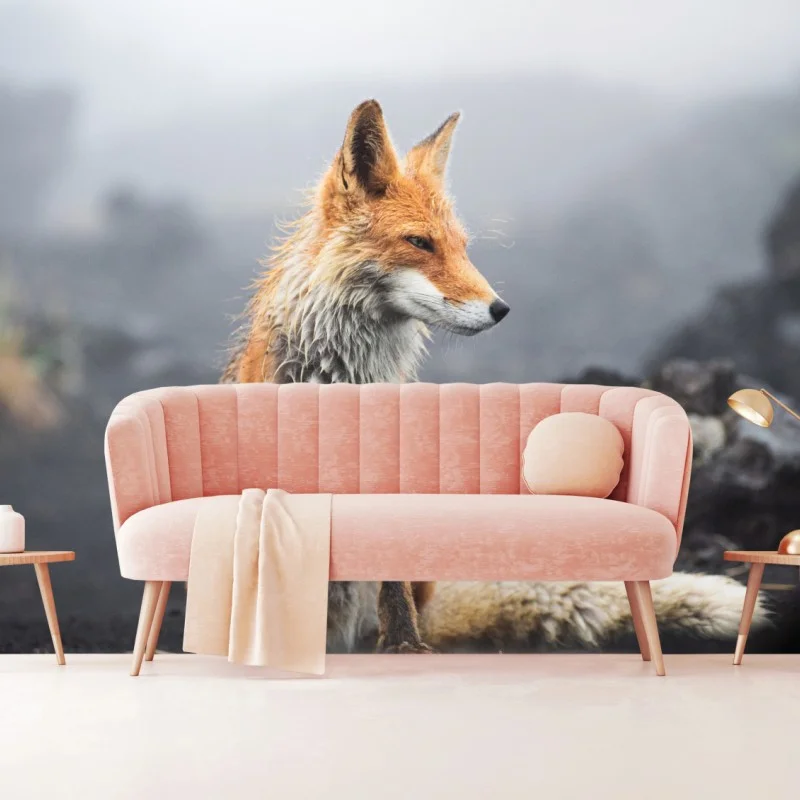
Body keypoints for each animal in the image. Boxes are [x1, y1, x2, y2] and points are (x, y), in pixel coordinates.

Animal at [223, 99, 770, 654]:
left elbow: (394, 592)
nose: (501, 309)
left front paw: (404, 648)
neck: (344, 377)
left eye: (462, 246)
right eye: (419, 242)